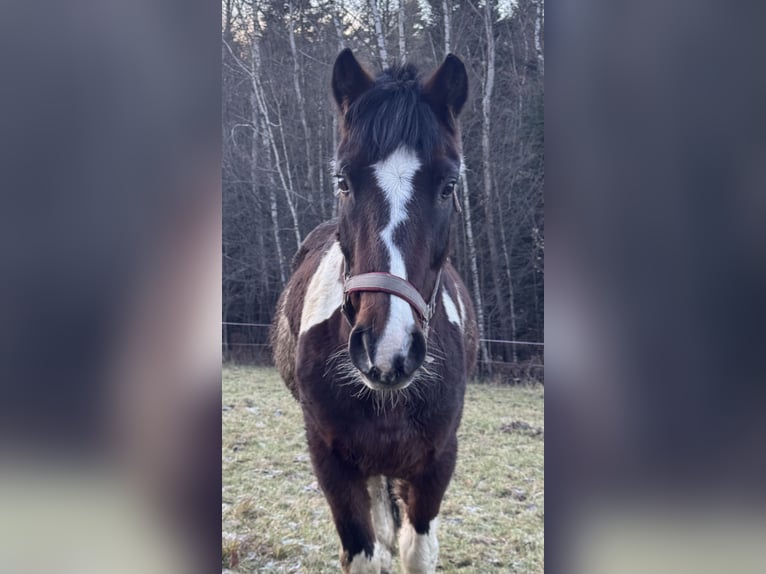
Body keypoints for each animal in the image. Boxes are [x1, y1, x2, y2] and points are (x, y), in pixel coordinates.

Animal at [271, 48, 478, 574]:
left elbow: (416, 550)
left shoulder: (437, 460)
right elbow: (365, 549)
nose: (388, 350)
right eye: (343, 180)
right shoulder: (332, 461)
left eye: (448, 184)